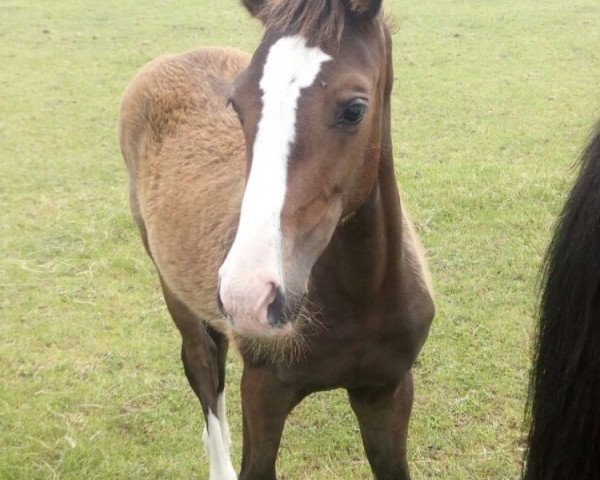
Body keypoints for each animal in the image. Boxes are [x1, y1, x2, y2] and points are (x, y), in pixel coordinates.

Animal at [119, 0, 434, 480]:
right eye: (237, 102)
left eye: (355, 109)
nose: (248, 295)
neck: (359, 299)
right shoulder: (263, 391)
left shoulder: (389, 389)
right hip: (171, 285)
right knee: (202, 365)